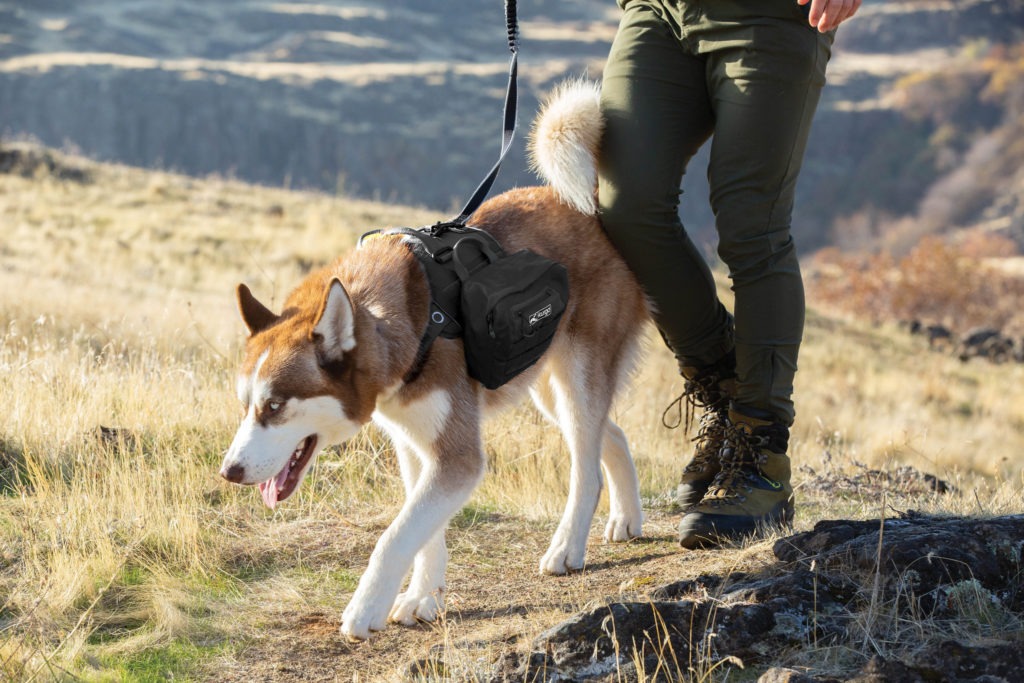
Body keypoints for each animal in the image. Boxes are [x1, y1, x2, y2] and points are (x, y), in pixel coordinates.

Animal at [218, 82, 647, 643]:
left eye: (274, 406)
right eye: (246, 404)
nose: (229, 471)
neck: (408, 321)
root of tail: (590, 204)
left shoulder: (457, 456)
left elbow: (395, 535)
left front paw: (365, 610)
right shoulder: (414, 442)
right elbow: (424, 529)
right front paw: (424, 596)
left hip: (576, 379)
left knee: (585, 465)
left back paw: (567, 547)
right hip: (548, 391)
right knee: (607, 435)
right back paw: (627, 518)